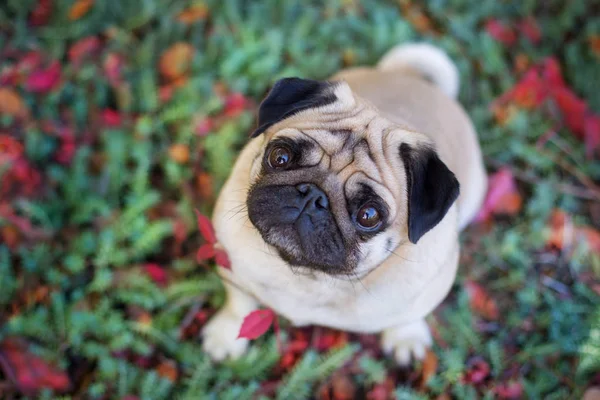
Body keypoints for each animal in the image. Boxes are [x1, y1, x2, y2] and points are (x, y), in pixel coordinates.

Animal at [202, 43, 488, 366]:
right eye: (280, 157)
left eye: (368, 215)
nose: (313, 197)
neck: (308, 276)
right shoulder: (231, 264)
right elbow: (239, 303)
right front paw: (226, 335)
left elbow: (409, 316)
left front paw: (406, 338)